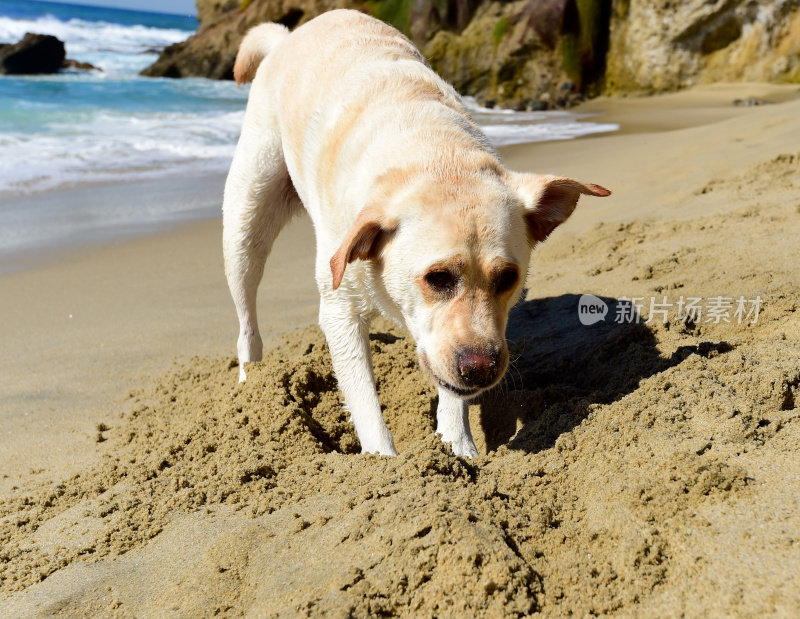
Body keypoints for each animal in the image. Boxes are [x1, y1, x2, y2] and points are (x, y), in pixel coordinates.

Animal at [222, 7, 608, 458]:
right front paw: (384, 460)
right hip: (246, 218)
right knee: (246, 318)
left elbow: (450, 391)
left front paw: (458, 446)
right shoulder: (340, 308)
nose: (482, 369)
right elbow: (364, 400)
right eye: (437, 278)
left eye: (508, 279)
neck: (437, 155)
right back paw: (253, 385)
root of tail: (288, 36)